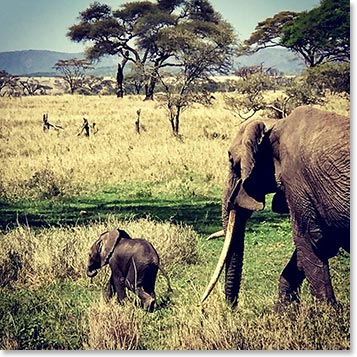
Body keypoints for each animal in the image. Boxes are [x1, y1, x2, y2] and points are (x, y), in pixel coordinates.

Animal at [202, 105, 350, 308]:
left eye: (232, 161)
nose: (231, 308)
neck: (276, 125)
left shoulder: (296, 180)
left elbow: (311, 241)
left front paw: (327, 313)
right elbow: (314, 246)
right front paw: (284, 312)